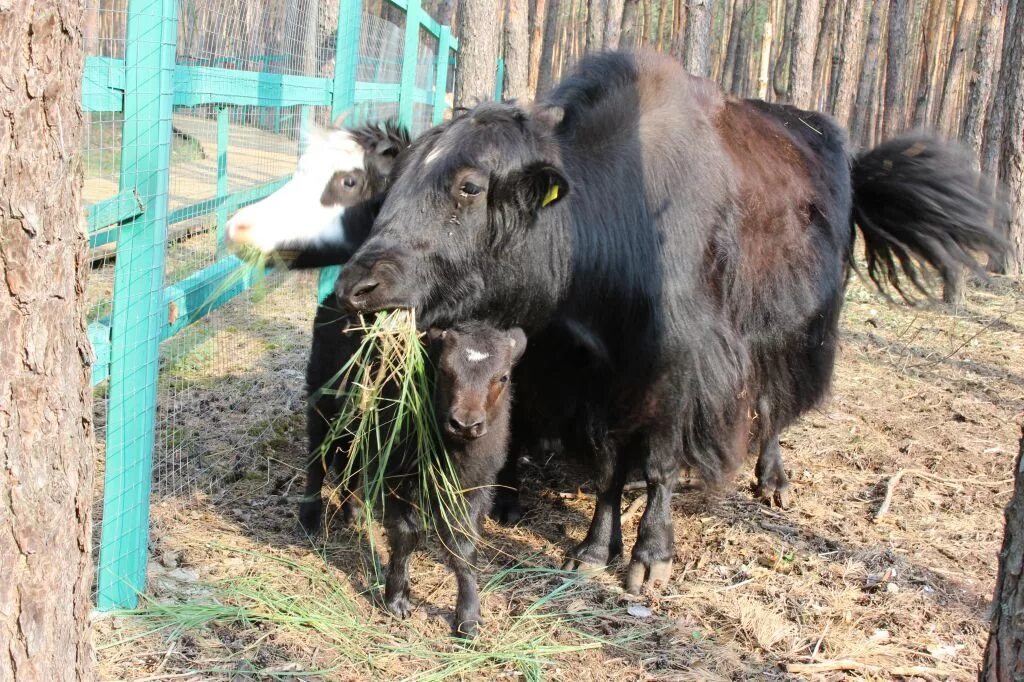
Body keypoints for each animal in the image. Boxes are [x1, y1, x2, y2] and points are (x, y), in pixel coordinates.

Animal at [339, 53, 1003, 593]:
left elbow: (660, 461)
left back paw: (772, 480)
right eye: (395, 180)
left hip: (792, 330)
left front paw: (649, 558)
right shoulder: (595, 381)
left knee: (772, 405)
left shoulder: (677, 371)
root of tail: (847, 155)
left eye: (469, 186)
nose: (357, 286)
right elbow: (607, 465)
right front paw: (592, 550)